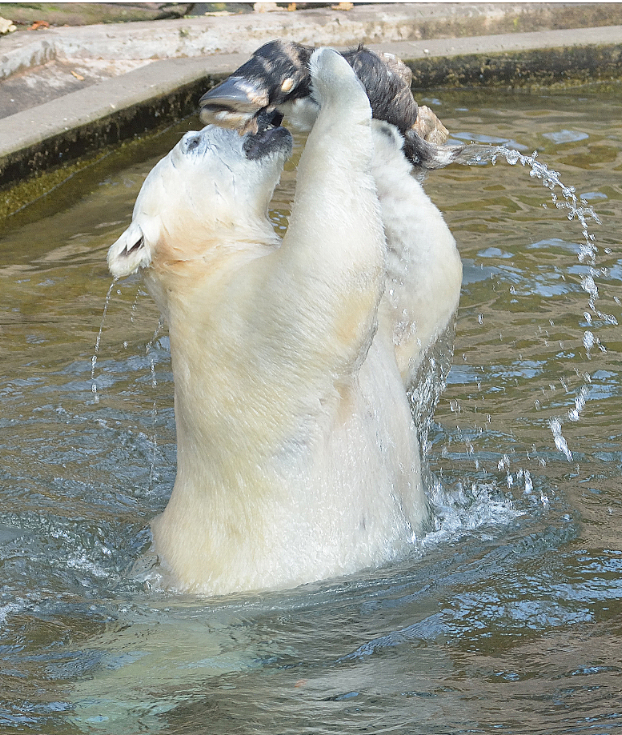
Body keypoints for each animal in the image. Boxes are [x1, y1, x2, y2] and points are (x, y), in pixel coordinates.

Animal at [107, 49, 464, 596]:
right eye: (192, 143)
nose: (265, 121)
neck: (203, 265)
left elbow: (424, 279)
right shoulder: (244, 327)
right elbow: (332, 254)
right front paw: (326, 67)